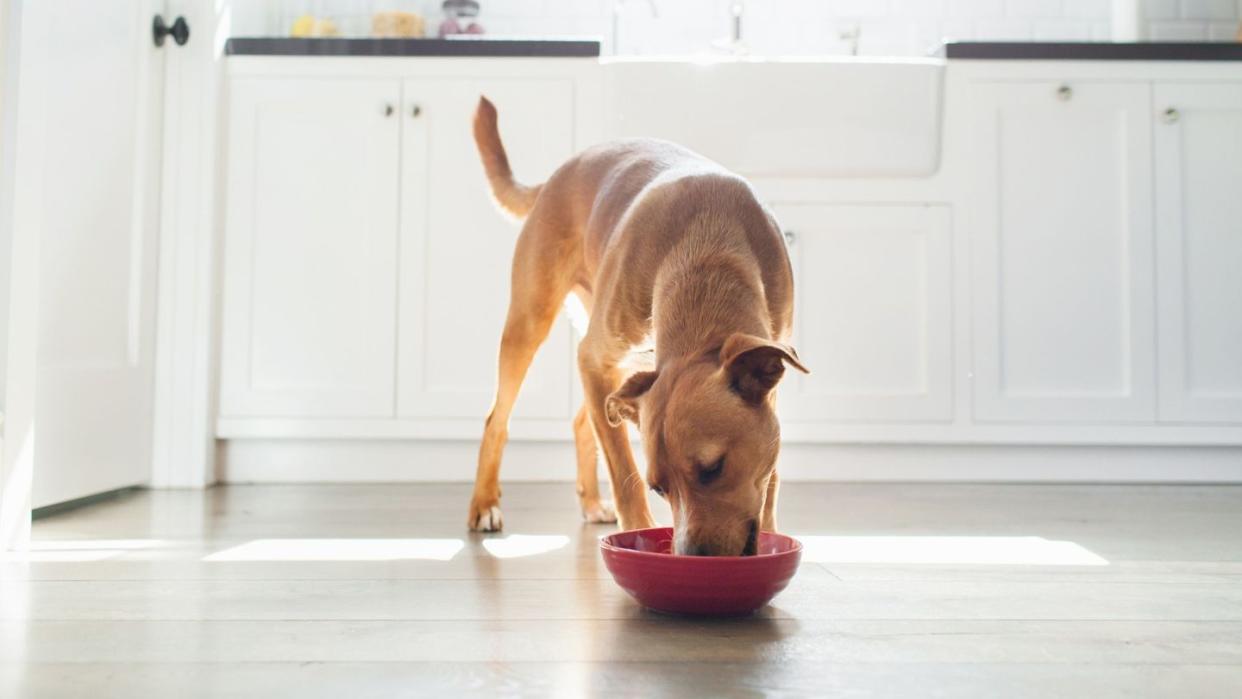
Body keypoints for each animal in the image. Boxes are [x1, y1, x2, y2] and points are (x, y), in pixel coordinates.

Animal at [466, 99, 804, 558]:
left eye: (713, 469)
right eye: (659, 488)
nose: (691, 559)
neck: (708, 253)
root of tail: (554, 177)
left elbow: (770, 475)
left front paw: (771, 531)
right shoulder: (595, 361)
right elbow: (623, 472)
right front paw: (637, 535)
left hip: (621, 369)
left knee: (582, 422)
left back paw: (591, 502)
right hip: (531, 323)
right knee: (497, 420)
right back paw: (484, 504)